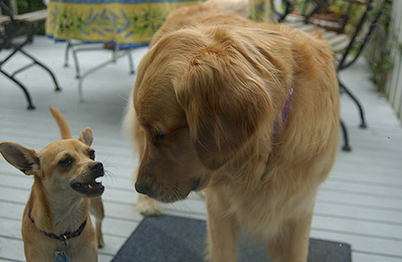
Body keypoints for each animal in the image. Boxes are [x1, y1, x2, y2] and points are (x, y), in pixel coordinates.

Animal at [0, 107, 105, 262]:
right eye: (65, 161)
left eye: (92, 154)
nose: (97, 165)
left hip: (97, 208)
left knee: (99, 221)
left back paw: (100, 238)